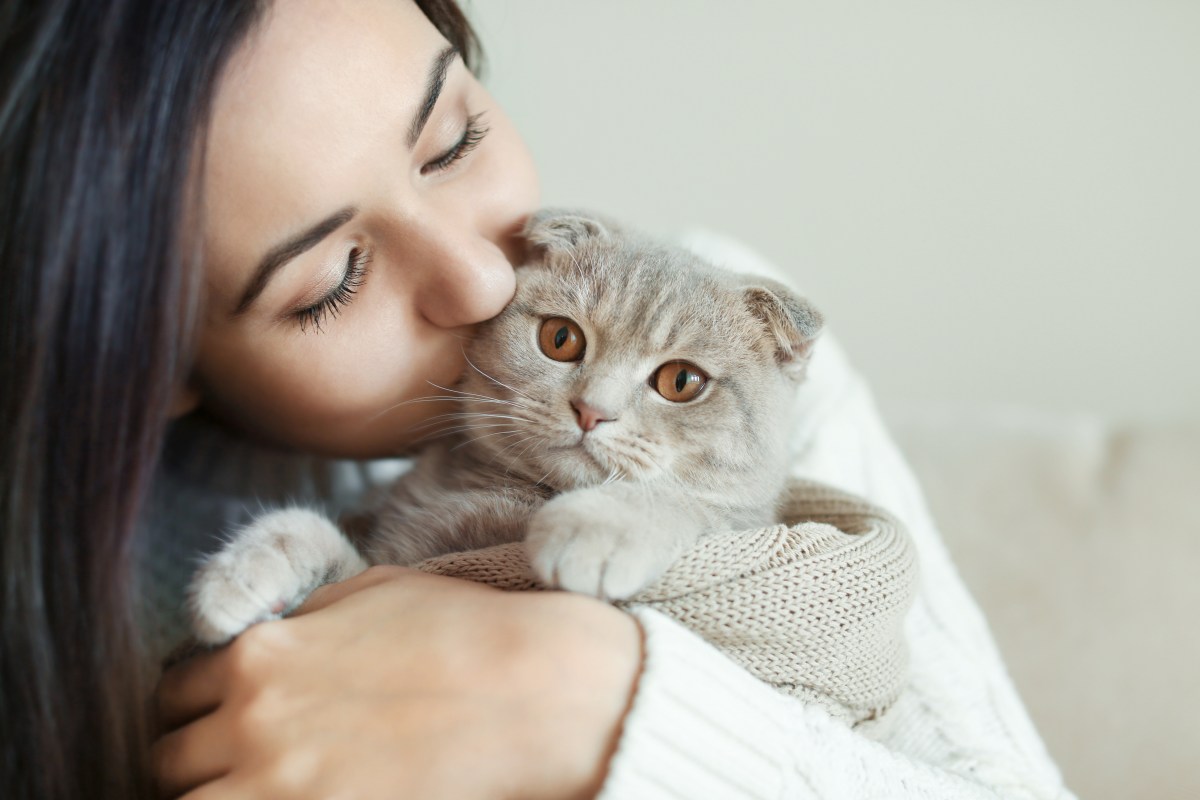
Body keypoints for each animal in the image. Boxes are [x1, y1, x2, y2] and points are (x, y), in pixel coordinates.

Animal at [187, 211, 825, 642]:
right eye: (561, 338)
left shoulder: (738, 523)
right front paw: (241, 575)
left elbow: (680, 502)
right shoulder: (385, 563)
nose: (591, 409)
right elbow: (302, 529)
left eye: (682, 382)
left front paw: (595, 527)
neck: (505, 497)